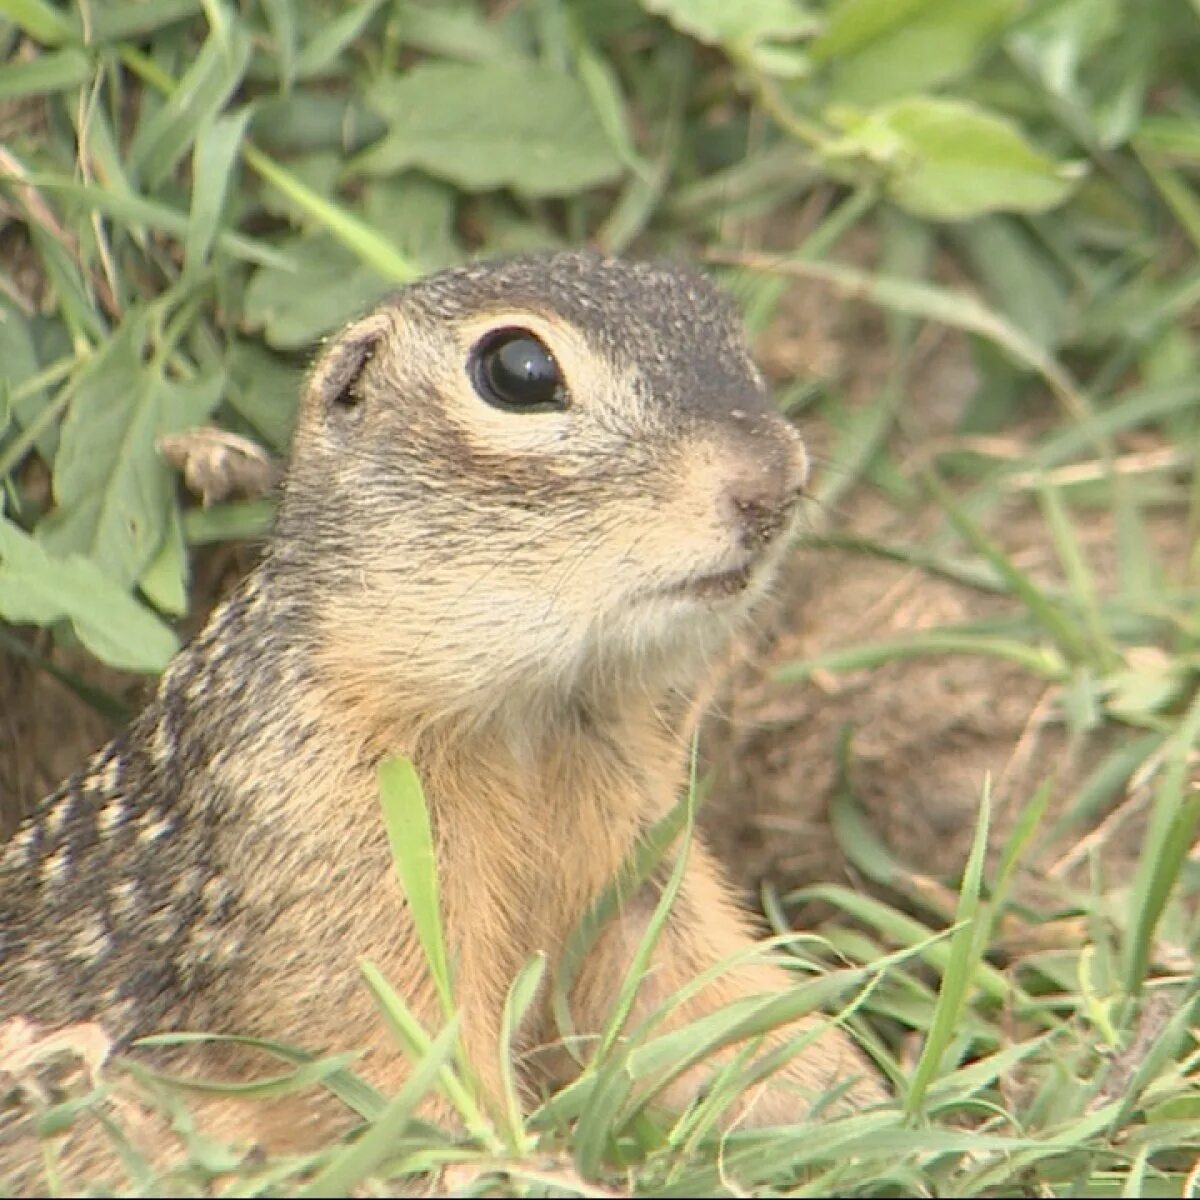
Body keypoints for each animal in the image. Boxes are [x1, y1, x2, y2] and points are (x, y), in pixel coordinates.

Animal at [0, 250, 883, 1180]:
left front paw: (858, 1109)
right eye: (518, 371)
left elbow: (705, 997)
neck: (529, 719)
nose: (776, 484)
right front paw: (520, 1166)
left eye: (722, 324)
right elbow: (400, 1052)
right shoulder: (336, 851)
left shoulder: (639, 860)